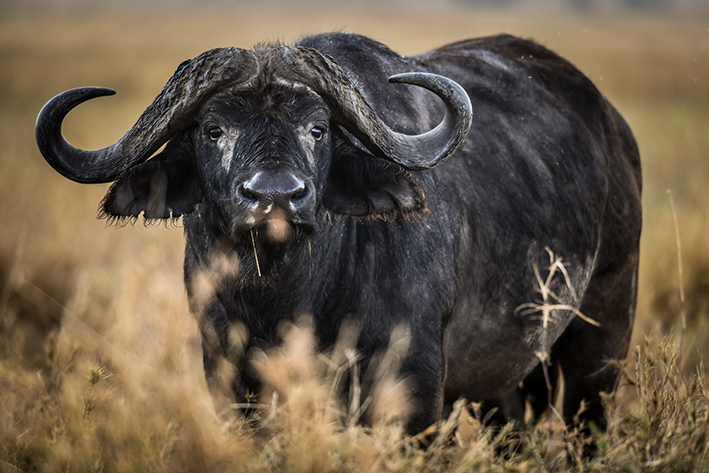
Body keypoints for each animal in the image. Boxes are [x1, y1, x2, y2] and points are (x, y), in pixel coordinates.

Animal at [36, 32, 641, 435]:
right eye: (213, 129)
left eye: (318, 127)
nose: (276, 196)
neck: (285, 300)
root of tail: (614, 128)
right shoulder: (227, 375)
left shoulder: (416, 387)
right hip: (507, 384)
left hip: (600, 341)